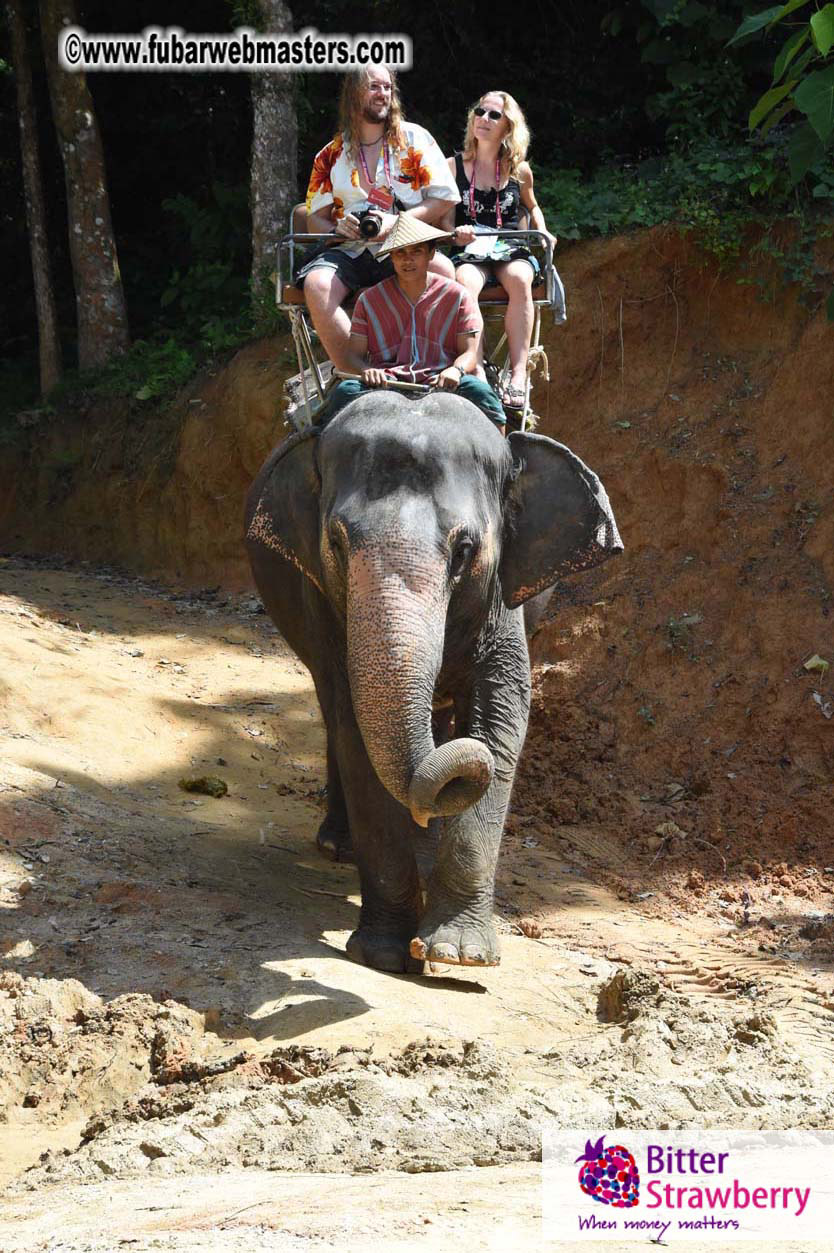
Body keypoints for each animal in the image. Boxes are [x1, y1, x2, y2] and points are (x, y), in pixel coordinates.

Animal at [244, 391, 621, 974]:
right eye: (337, 542)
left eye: (465, 550)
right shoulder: (326, 603)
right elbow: (356, 732)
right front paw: (383, 953)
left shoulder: (503, 601)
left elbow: (501, 723)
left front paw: (458, 956)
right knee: (332, 711)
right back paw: (340, 844)